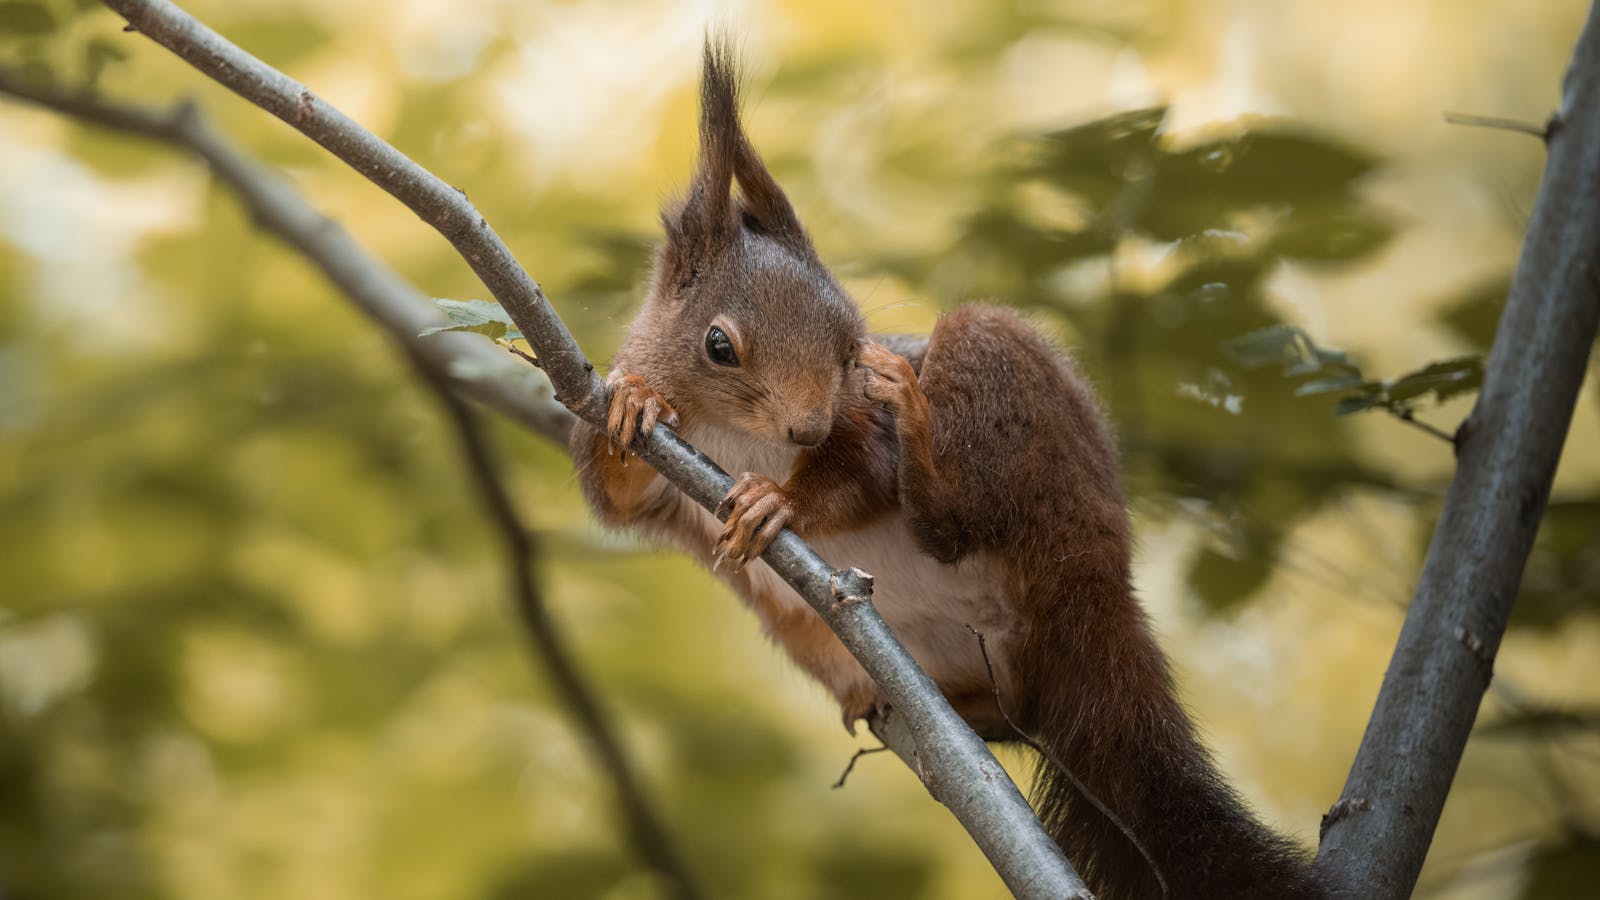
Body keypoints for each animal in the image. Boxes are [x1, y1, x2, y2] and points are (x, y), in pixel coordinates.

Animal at [576, 42, 1324, 896]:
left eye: (850, 345)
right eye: (717, 345)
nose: (807, 424)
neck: (736, 434)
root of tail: (1097, 580)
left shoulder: (858, 420)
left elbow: (860, 474)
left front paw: (780, 502)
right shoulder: (653, 483)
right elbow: (615, 495)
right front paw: (636, 401)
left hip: (1011, 405)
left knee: (957, 524)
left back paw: (925, 460)